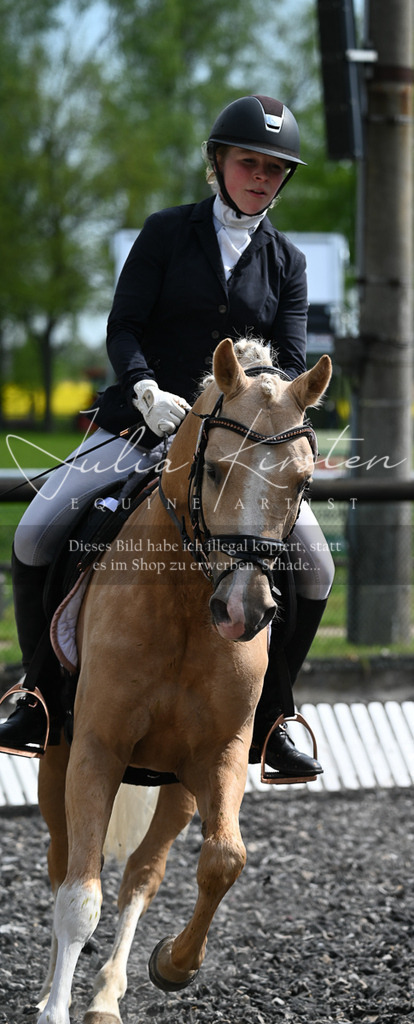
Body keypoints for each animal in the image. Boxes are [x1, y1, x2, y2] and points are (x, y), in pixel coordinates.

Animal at [35, 337, 332, 1024]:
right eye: (217, 470)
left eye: (303, 482)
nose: (243, 611)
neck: (186, 603)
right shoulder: (96, 750)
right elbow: (79, 894)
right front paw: (54, 1010)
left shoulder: (218, 756)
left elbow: (224, 861)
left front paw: (174, 965)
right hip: (55, 754)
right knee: (63, 865)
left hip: (173, 783)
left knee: (143, 873)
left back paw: (108, 997)